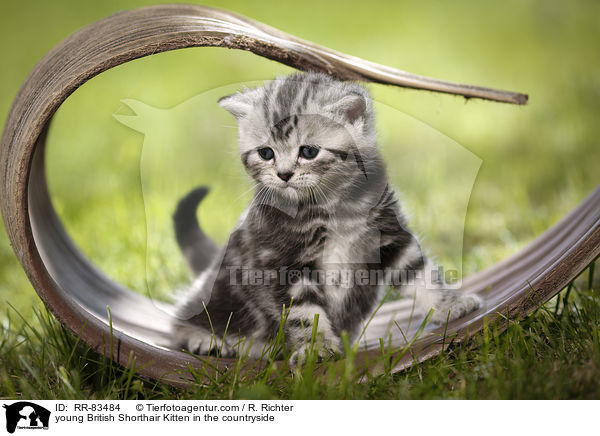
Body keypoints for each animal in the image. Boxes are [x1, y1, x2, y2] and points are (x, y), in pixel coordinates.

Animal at [171, 72, 480, 364]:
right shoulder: (280, 262)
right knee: (180, 320)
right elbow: (305, 313)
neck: (334, 208)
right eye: (266, 153)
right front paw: (316, 349)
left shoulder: (390, 237)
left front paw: (450, 305)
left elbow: (420, 273)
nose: (284, 174)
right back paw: (206, 340)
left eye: (309, 151)